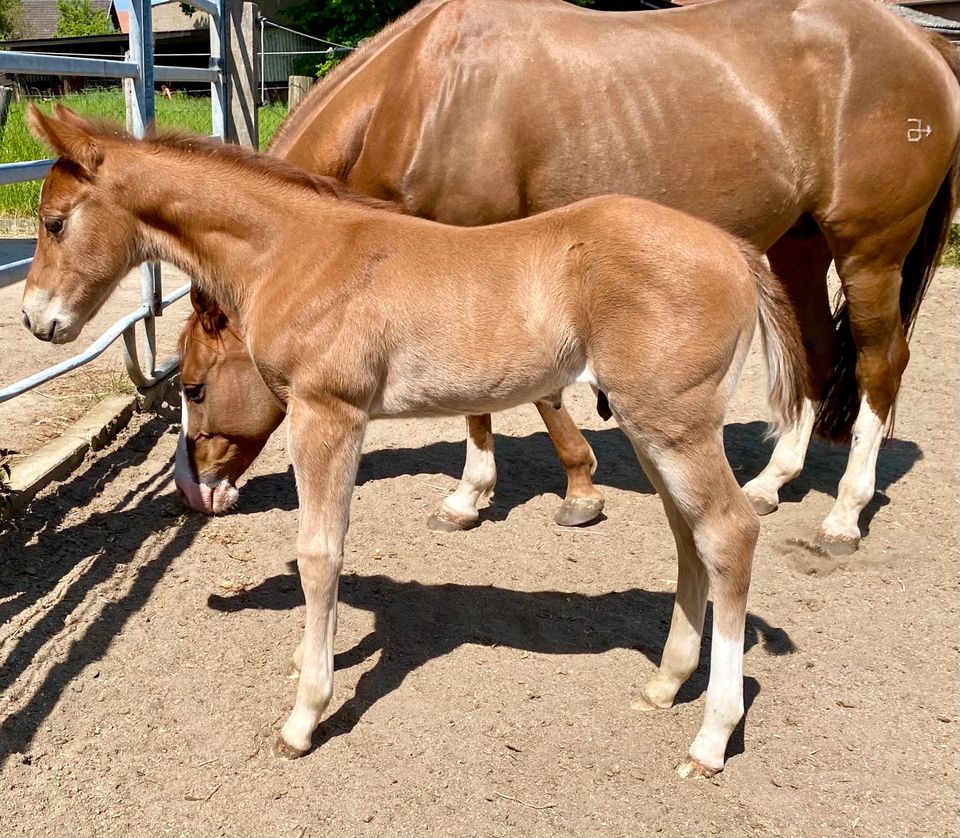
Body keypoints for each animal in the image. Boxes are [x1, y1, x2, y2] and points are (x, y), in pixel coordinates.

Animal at [20, 108, 808, 776]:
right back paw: (666, 683)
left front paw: (304, 717)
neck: (299, 251)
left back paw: (711, 737)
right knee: (688, 535)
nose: (34, 320)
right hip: (657, 430)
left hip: (674, 426)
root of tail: (736, 251)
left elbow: (319, 553)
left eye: (55, 223)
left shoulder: (327, 414)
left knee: (729, 532)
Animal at [169, 0, 956, 556]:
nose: (192, 491)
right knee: (812, 356)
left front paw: (494, 493)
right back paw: (772, 481)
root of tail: (923, 44)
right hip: (799, 249)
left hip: (869, 251)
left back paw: (846, 512)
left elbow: (502, 397)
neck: (424, 89)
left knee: (881, 365)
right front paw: (563, 485)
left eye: (195, 387)